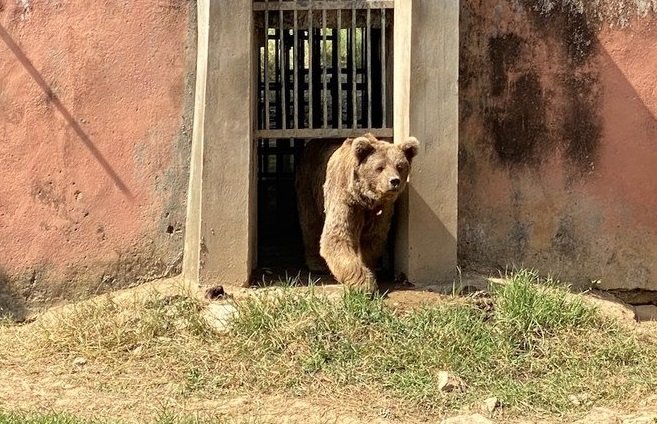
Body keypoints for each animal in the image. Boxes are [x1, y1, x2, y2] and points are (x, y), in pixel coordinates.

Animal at [295, 133, 419, 293]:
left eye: (400, 166)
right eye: (380, 167)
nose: (394, 181)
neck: (365, 199)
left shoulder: (380, 210)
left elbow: (372, 239)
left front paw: (368, 270)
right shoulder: (346, 200)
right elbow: (337, 236)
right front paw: (364, 283)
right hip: (309, 184)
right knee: (310, 223)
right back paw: (317, 264)